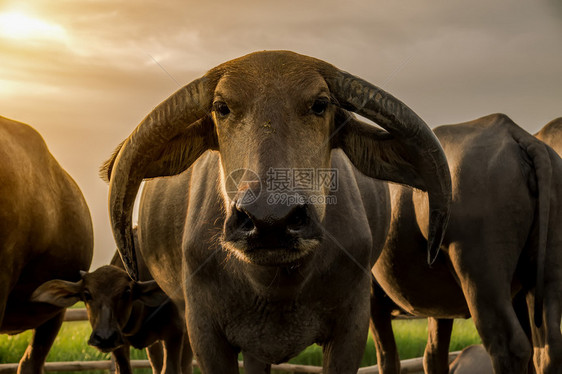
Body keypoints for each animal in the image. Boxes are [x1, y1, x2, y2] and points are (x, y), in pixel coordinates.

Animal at [100, 50, 450, 374]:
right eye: (222, 107)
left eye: (320, 104)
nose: (270, 220)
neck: (274, 286)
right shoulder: (204, 333)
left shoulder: (352, 326)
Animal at [368, 113, 560, 374]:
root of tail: (520, 137)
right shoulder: (439, 304)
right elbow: (434, 355)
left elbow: (388, 358)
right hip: (546, 268)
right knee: (547, 348)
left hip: (480, 274)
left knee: (509, 345)